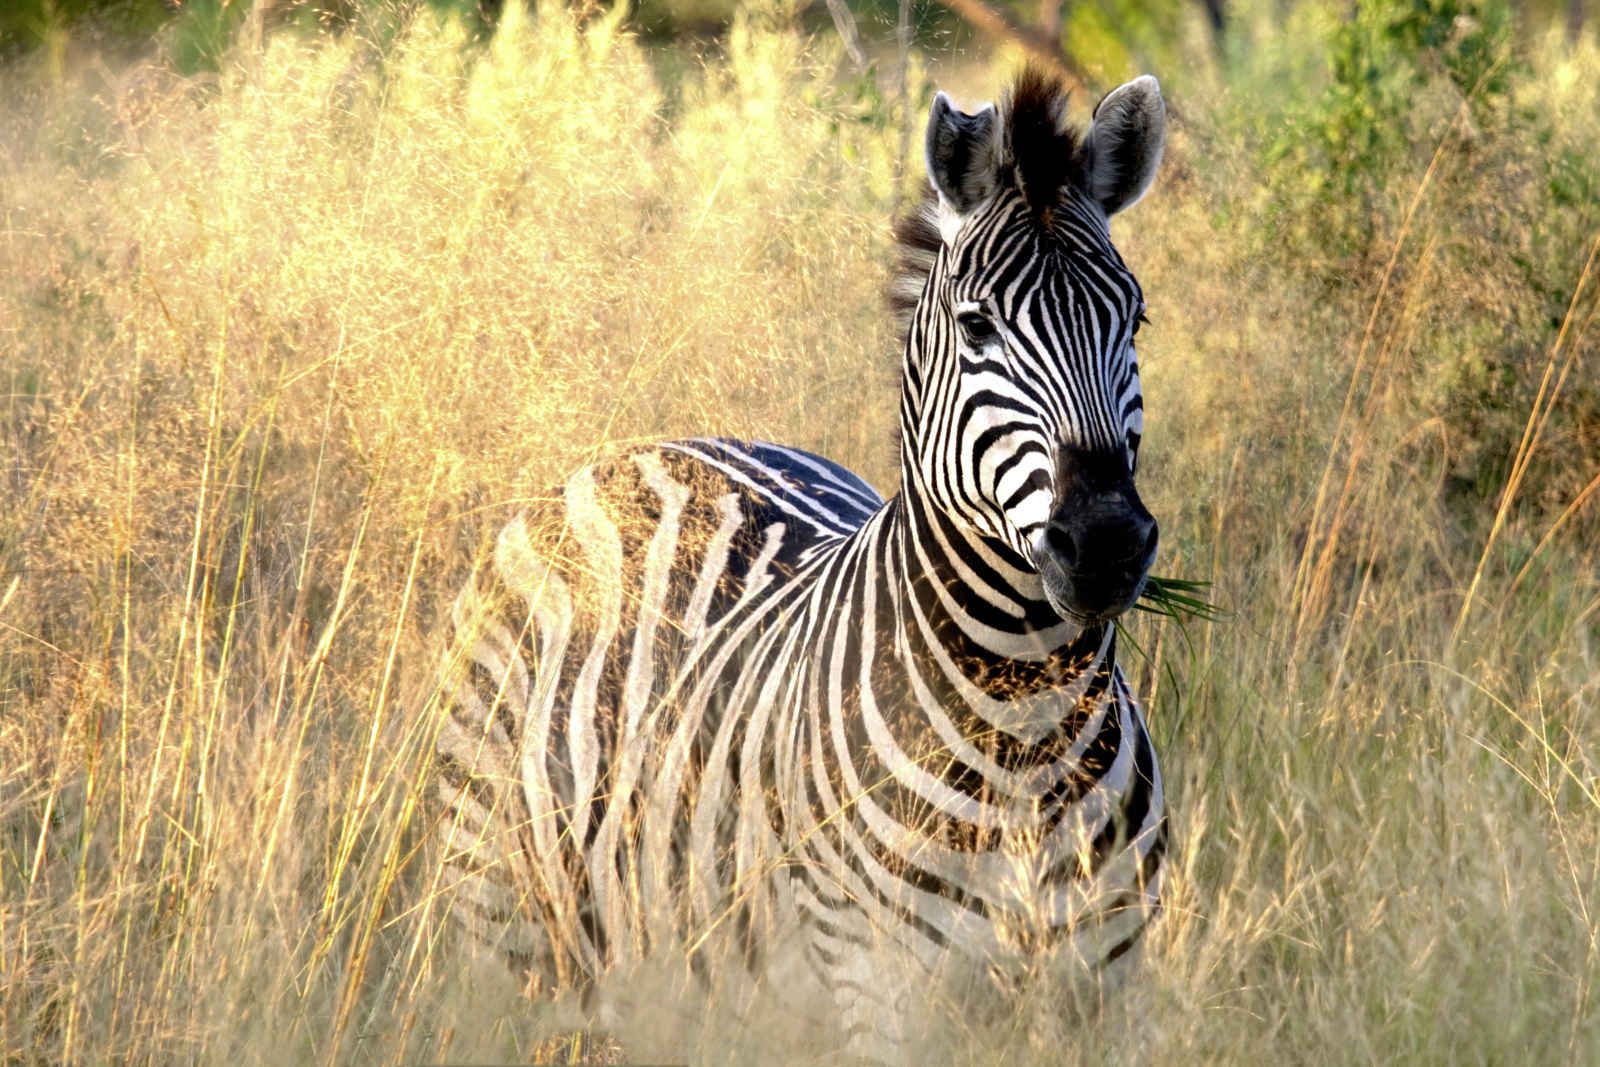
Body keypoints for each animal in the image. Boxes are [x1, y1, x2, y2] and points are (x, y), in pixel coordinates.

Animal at [444, 70, 1171, 1062]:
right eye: (977, 326)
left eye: (1134, 318)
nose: (1104, 541)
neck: (1025, 728)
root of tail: (649, 448)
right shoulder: (882, 990)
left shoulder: (1107, 996)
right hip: (506, 931)